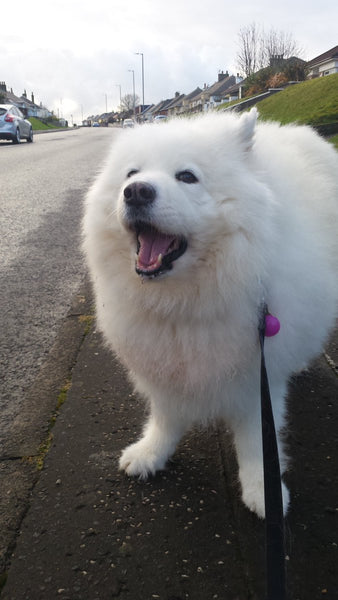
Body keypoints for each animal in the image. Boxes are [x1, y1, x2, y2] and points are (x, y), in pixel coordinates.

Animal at [82, 110, 338, 516]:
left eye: (187, 176)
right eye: (131, 173)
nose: (136, 191)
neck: (183, 301)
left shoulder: (256, 380)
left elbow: (257, 441)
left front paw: (263, 490)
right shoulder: (164, 368)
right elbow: (165, 418)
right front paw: (151, 454)